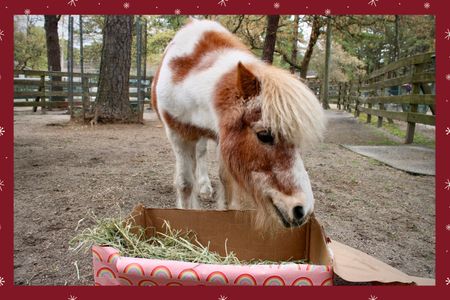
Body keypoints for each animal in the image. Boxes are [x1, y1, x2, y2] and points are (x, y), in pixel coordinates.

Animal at [153, 19, 326, 230]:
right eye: (264, 135)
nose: (302, 210)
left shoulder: (223, 138)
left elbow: (226, 182)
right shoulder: (178, 135)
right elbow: (185, 184)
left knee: (201, 153)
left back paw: (205, 187)